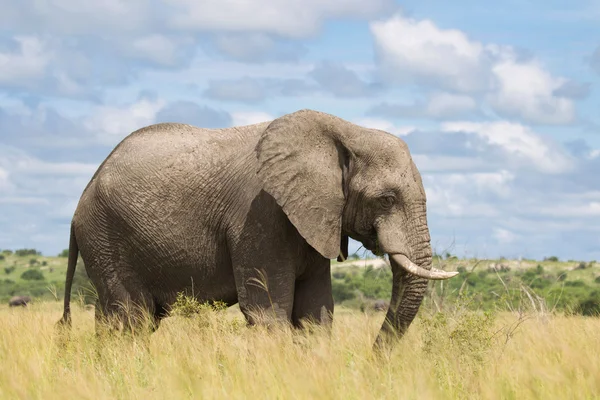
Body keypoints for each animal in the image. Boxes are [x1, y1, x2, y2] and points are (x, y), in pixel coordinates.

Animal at [57, 108, 460, 346]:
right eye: (387, 199)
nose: (373, 357)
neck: (344, 131)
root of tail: (83, 196)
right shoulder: (260, 215)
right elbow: (268, 314)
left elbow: (316, 314)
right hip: (106, 235)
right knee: (131, 320)